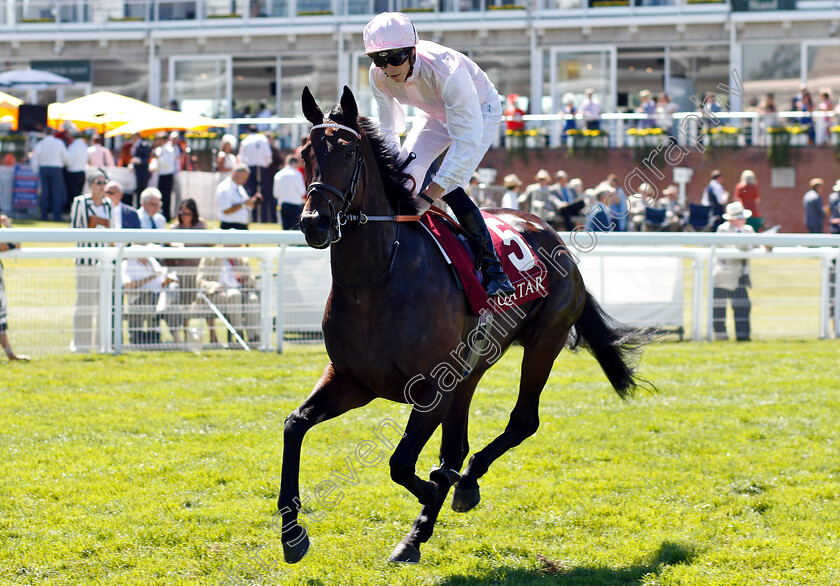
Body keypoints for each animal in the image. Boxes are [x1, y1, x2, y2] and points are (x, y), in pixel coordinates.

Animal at [278, 85, 660, 560]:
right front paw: (292, 533)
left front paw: (435, 492)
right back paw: (428, 519)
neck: (378, 277)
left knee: (520, 423)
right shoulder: (353, 380)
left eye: (348, 152)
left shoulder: (431, 390)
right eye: (304, 152)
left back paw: (459, 489)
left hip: (543, 342)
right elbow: (295, 425)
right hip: (472, 368)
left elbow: (403, 464)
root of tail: (552, 234)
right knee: (458, 445)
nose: (314, 222)